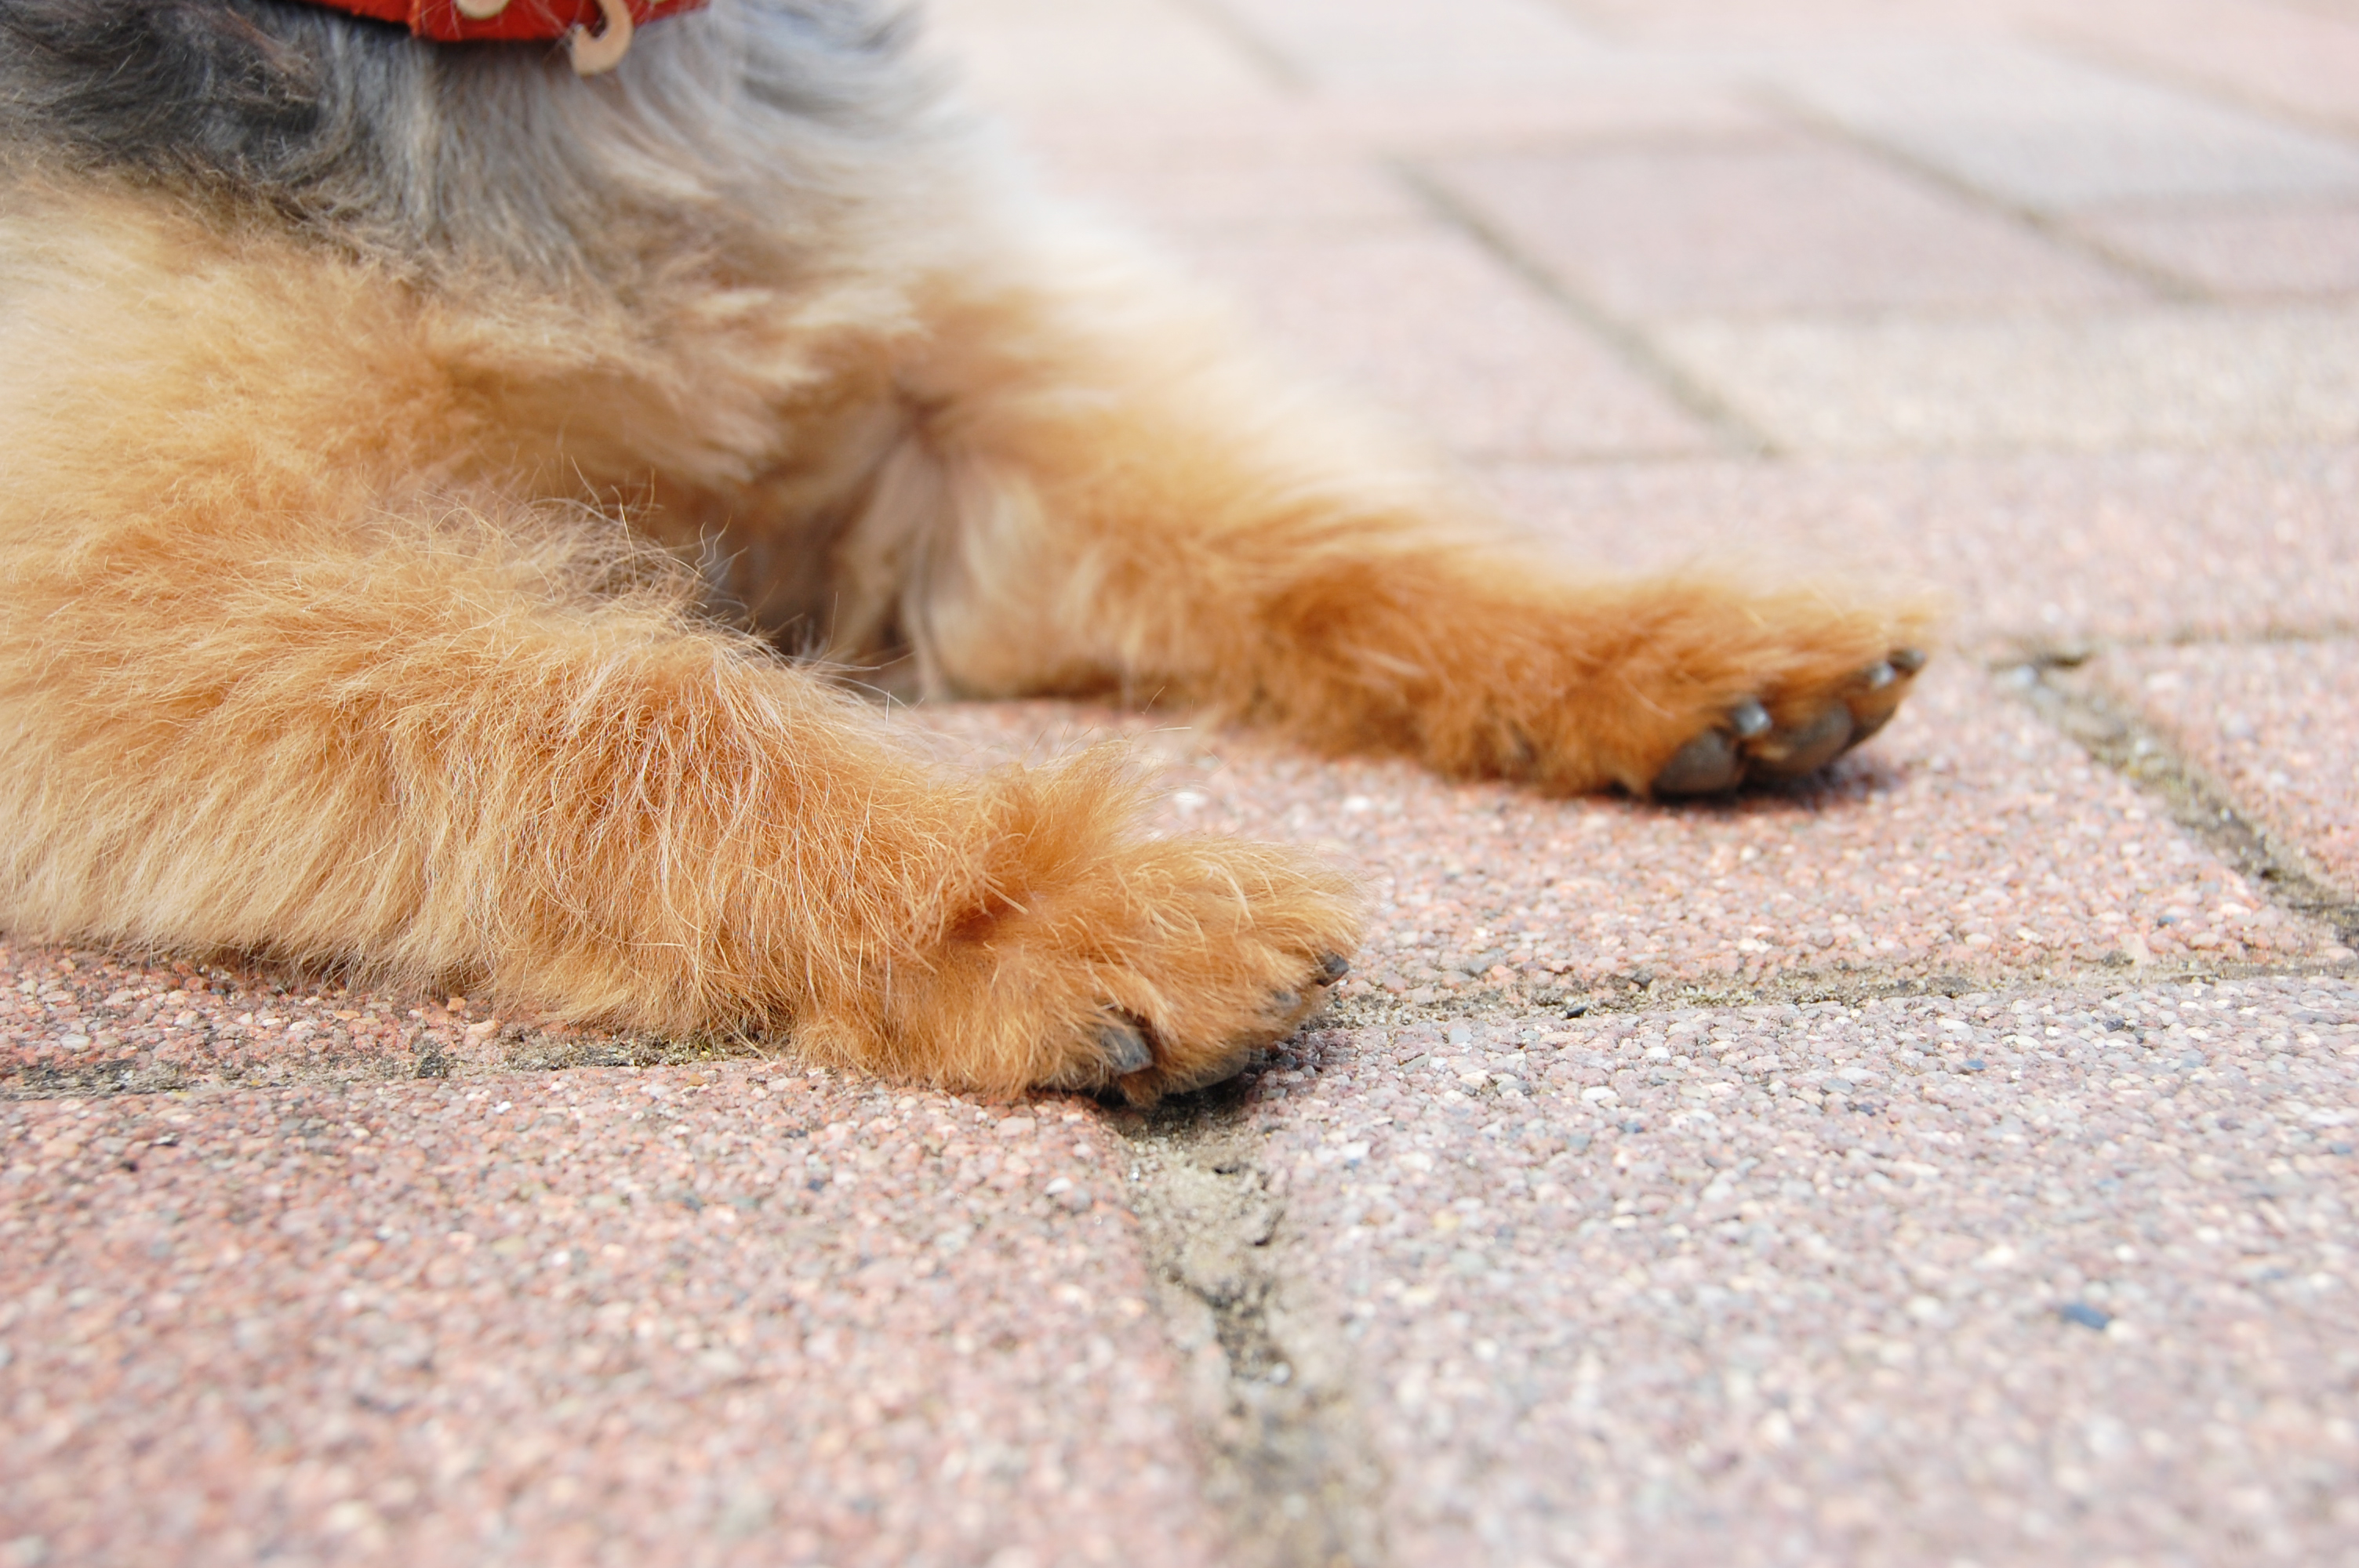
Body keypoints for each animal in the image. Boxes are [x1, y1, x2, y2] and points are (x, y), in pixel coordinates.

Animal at [0, 0, 1927, 1103]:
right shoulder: (110, 580)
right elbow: (647, 714)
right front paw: (1041, 906)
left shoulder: (956, 408)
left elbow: (1311, 534)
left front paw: (1636, 641)